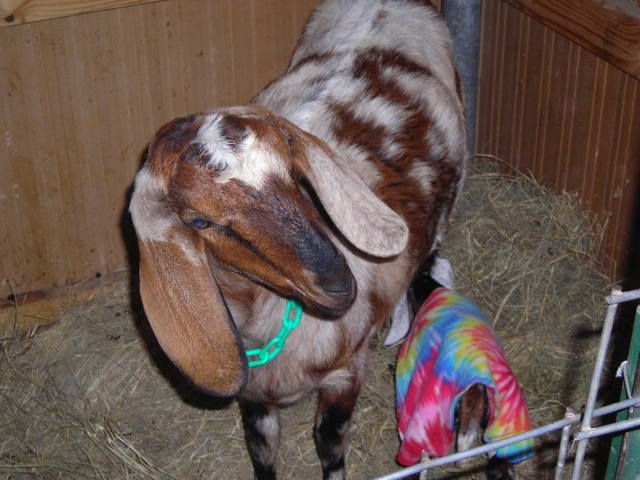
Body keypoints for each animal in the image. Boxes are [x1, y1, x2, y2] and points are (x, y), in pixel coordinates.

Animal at [129, 1, 466, 478]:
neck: (263, 319)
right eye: (198, 221)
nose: (340, 285)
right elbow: (262, 448)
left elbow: (329, 442)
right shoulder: (254, 396)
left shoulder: (346, 373)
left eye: (294, 173)